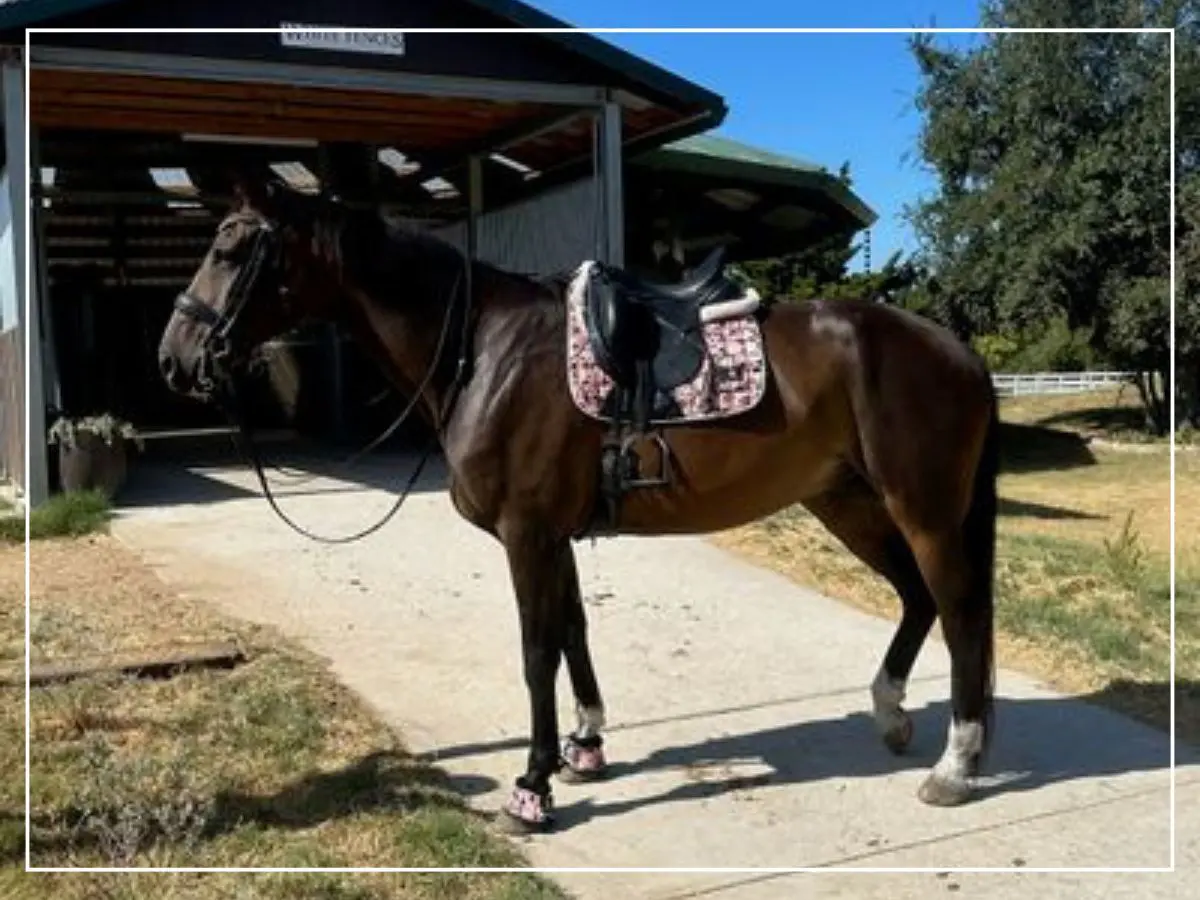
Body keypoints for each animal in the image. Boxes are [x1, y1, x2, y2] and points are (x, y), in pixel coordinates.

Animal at [159, 177, 1003, 840]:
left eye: (230, 251)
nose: (174, 358)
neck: (484, 349)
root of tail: (957, 350)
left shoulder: (526, 533)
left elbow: (537, 651)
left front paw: (531, 790)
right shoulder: (553, 534)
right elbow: (572, 631)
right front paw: (586, 747)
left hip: (922, 509)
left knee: (958, 610)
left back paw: (956, 766)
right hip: (847, 502)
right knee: (918, 599)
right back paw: (892, 716)